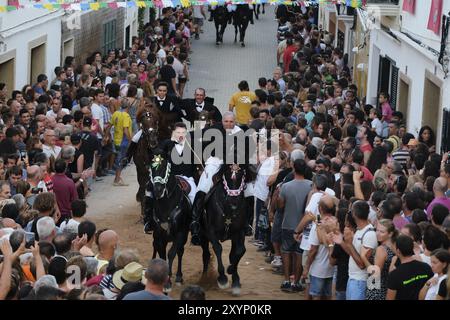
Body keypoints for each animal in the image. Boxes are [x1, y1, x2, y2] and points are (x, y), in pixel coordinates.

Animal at [147, 150, 191, 292]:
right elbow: (162, 255)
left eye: (164, 167)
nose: (157, 190)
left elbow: (171, 254)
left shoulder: (180, 234)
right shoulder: (159, 235)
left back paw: (178, 276)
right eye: (151, 169)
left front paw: (168, 281)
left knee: (180, 251)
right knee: (155, 246)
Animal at [201, 164, 250, 296]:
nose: (233, 203)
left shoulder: (239, 232)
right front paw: (222, 278)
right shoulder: (211, 231)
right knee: (206, 254)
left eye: (241, 175)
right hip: (203, 236)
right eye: (227, 175)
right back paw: (204, 278)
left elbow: (239, 251)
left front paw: (234, 277)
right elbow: (218, 248)